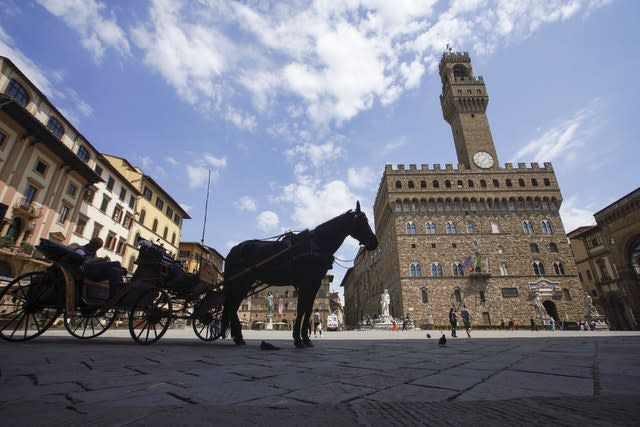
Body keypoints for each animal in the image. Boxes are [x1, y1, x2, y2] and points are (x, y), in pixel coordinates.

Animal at [220, 202, 380, 350]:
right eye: (362, 221)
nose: (374, 242)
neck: (316, 245)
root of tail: (234, 249)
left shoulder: (313, 284)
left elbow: (307, 310)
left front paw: (305, 339)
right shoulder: (307, 283)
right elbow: (302, 309)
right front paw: (299, 339)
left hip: (245, 283)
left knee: (232, 306)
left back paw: (238, 338)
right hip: (241, 282)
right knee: (233, 306)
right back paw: (238, 337)